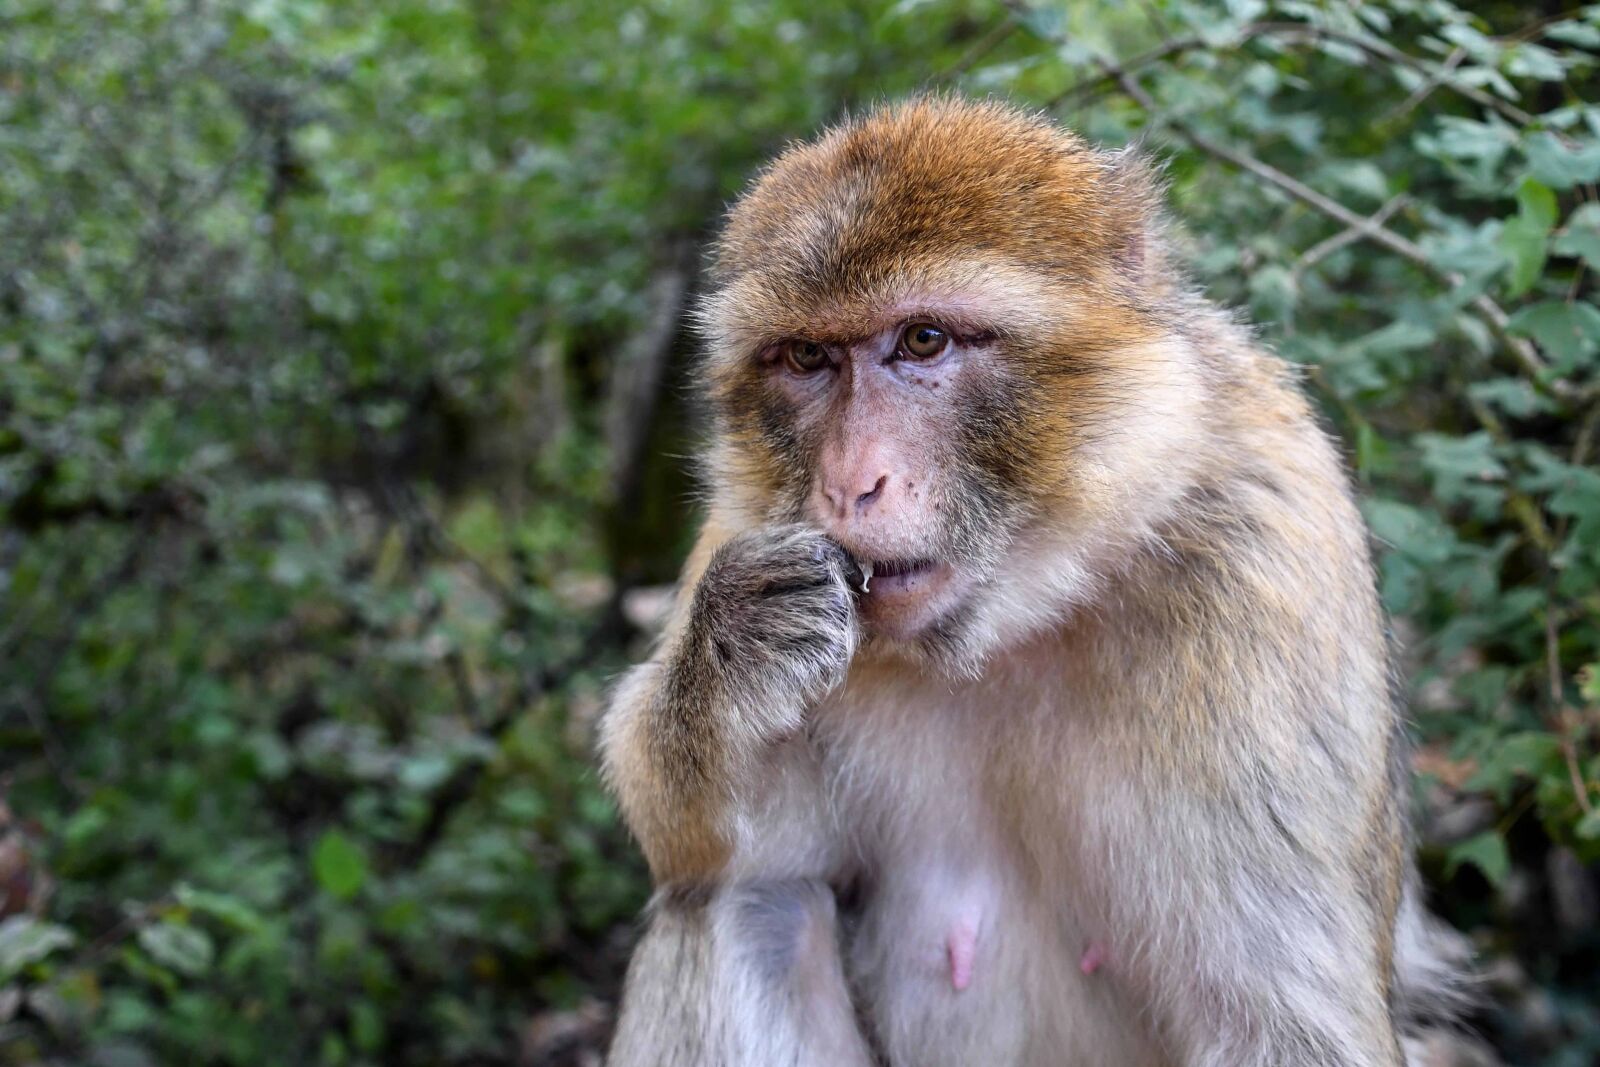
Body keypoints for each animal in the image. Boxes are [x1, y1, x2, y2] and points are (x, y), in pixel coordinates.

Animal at [599, 97, 1472, 1067]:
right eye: (806, 358)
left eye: (923, 339)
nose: (849, 484)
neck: (1022, 614)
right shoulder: (743, 517)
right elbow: (710, 847)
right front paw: (734, 645)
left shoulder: (1264, 569)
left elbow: (1283, 1024)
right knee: (746, 902)